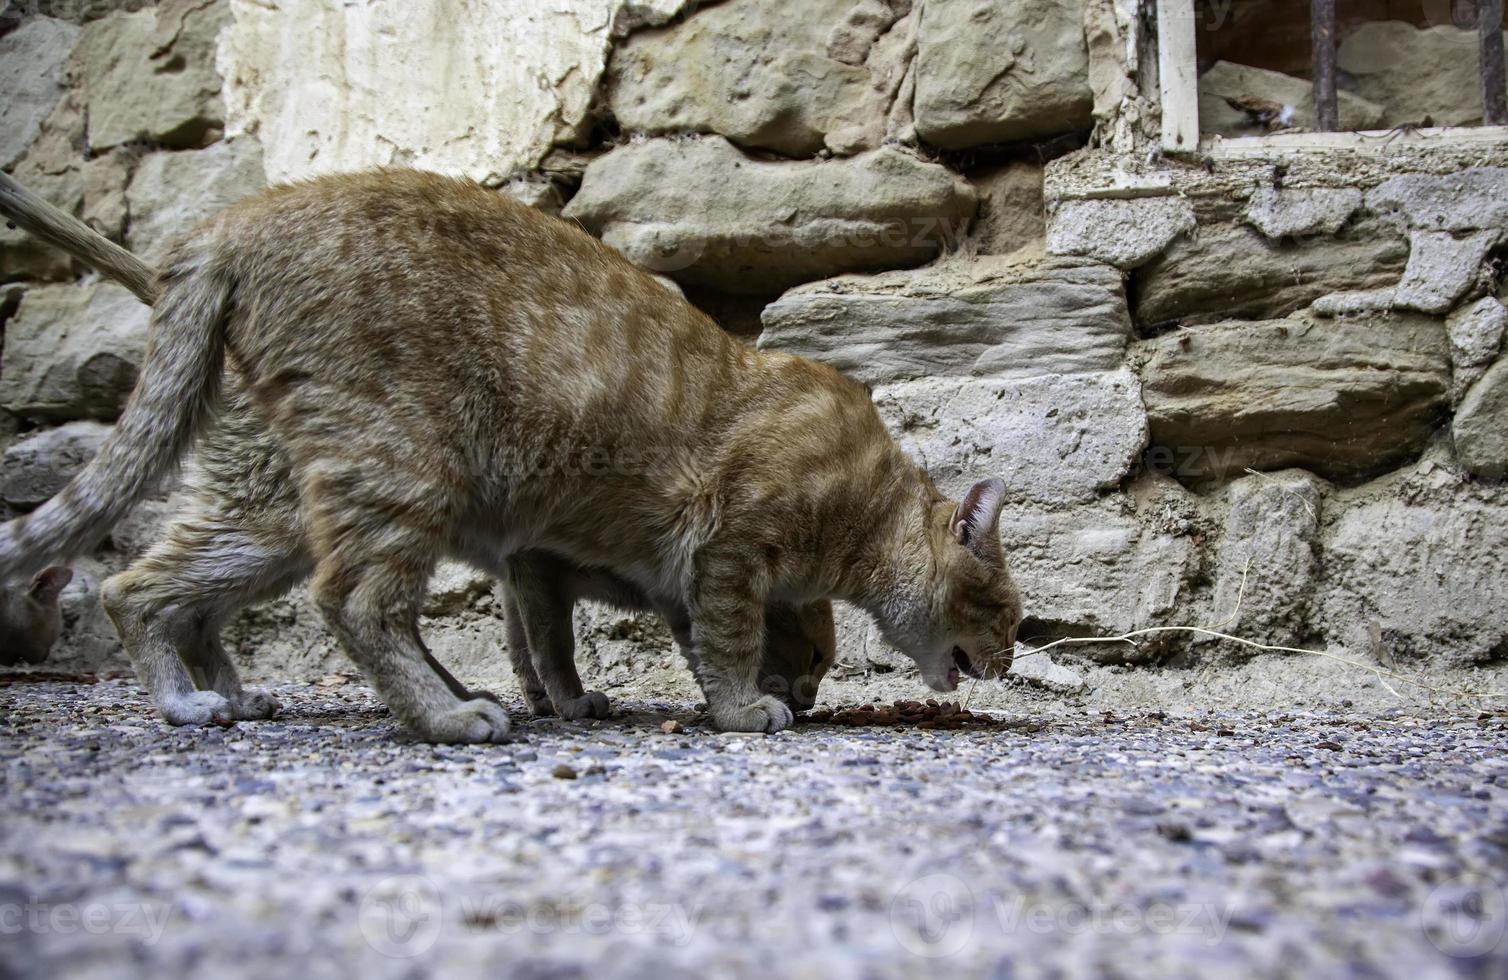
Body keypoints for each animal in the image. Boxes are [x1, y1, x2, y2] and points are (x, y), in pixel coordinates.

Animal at [0, 168, 1019, 735]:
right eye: (1007, 613)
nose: (1008, 664)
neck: (863, 510)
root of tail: (237, 219)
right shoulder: (723, 549)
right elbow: (710, 646)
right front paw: (741, 711)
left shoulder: (618, 572)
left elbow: (573, 647)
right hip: (397, 468)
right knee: (354, 603)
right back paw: (446, 717)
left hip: (275, 517)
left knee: (146, 588)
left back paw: (205, 701)